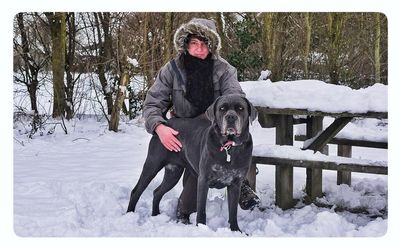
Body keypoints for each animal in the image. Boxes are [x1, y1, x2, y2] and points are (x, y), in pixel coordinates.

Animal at [126, 94, 256, 231]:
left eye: (240, 108)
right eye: (222, 108)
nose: (230, 117)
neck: (229, 147)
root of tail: (165, 123)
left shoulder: (235, 184)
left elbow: (233, 211)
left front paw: (236, 230)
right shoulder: (203, 180)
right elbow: (201, 209)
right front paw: (202, 227)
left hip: (173, 173)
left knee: (157, 192)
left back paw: (155, 215)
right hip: (152, 164)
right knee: (136, 191)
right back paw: (130, 214)